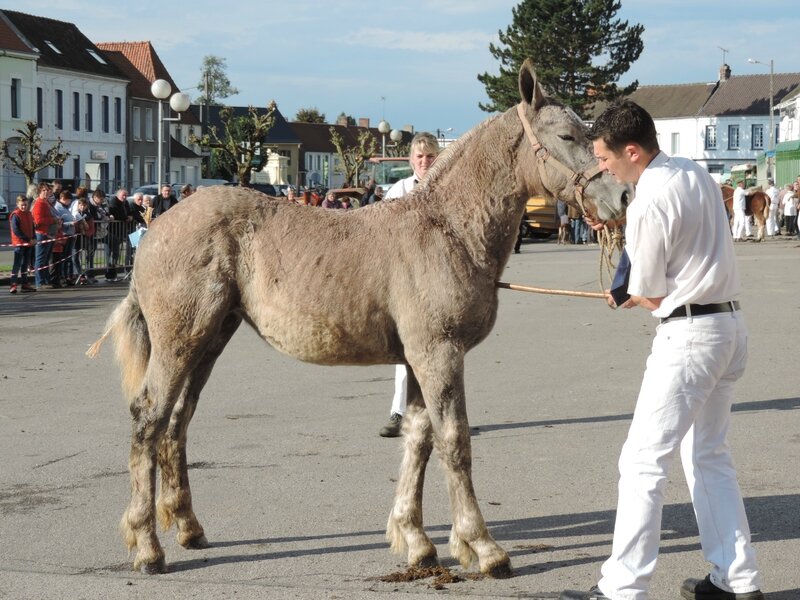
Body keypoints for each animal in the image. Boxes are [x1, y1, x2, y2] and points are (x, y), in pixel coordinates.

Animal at [92, 59, 632, 576]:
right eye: (567, 136)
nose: (622, 197)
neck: (449, 228)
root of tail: (156, 226)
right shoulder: (438, 352)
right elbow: (454, 440)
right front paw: (482, 546)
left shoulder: (418, 358)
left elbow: (419, 438)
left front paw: (417, 542)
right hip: (180, 339)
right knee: (149, 417)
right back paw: (147, 546)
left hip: (210, 338)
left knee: (178, 420)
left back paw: (188, 526)